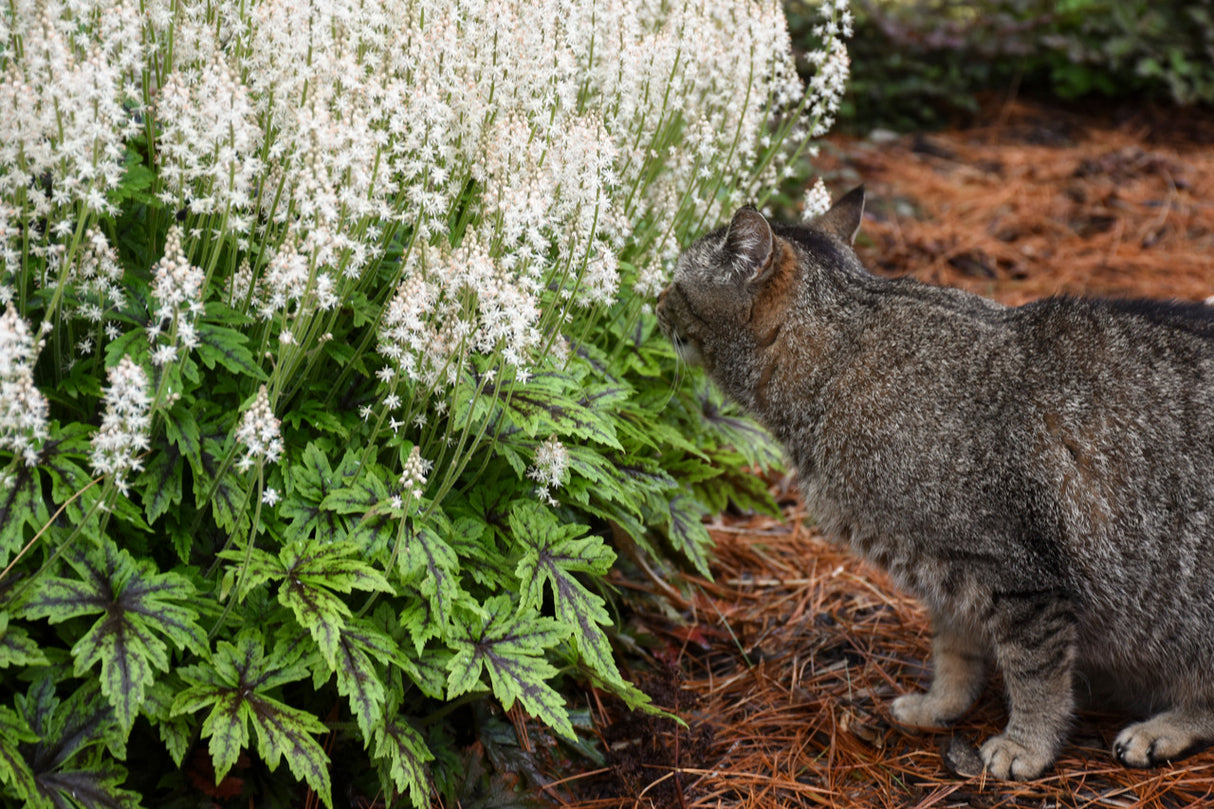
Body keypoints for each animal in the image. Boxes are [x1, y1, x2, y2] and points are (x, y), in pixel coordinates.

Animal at [660, 185, 1214, 777]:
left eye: (677, 282)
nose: (654, 303)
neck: (833, 371)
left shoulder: (1021, 576)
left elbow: (1036, 678)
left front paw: (1027, 745)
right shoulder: (948, 570)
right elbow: (954, 650)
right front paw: (941, 705)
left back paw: (1162, 728)